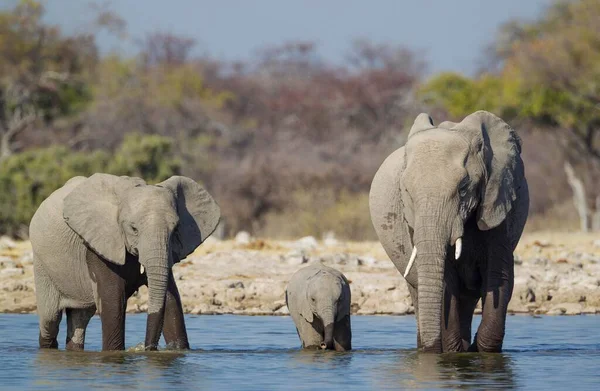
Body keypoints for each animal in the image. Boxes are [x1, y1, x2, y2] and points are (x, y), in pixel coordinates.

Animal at [29, 175, 221, 352]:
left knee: (79, 319)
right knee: (50, 320)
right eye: (133, 229)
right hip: (42, 265)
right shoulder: (99, 243)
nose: (147, 347)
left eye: (175, 229)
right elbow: (113, 301)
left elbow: (172, 298)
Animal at [368, 111, 528, 356]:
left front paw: (476, 350)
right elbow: (446, 282)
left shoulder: (497, 201)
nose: (431, 348)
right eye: (406, 192)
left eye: (463, 188)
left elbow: (497, 278)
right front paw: (453, 350)